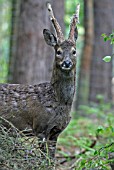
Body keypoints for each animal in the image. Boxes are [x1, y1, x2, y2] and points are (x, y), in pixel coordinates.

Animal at [0, 2, 79, 158]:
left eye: (74, 51)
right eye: (58, 51)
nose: (67, 63)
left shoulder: (56, 131)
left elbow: (51, 159)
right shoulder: (40, 127)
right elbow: (44, 159)